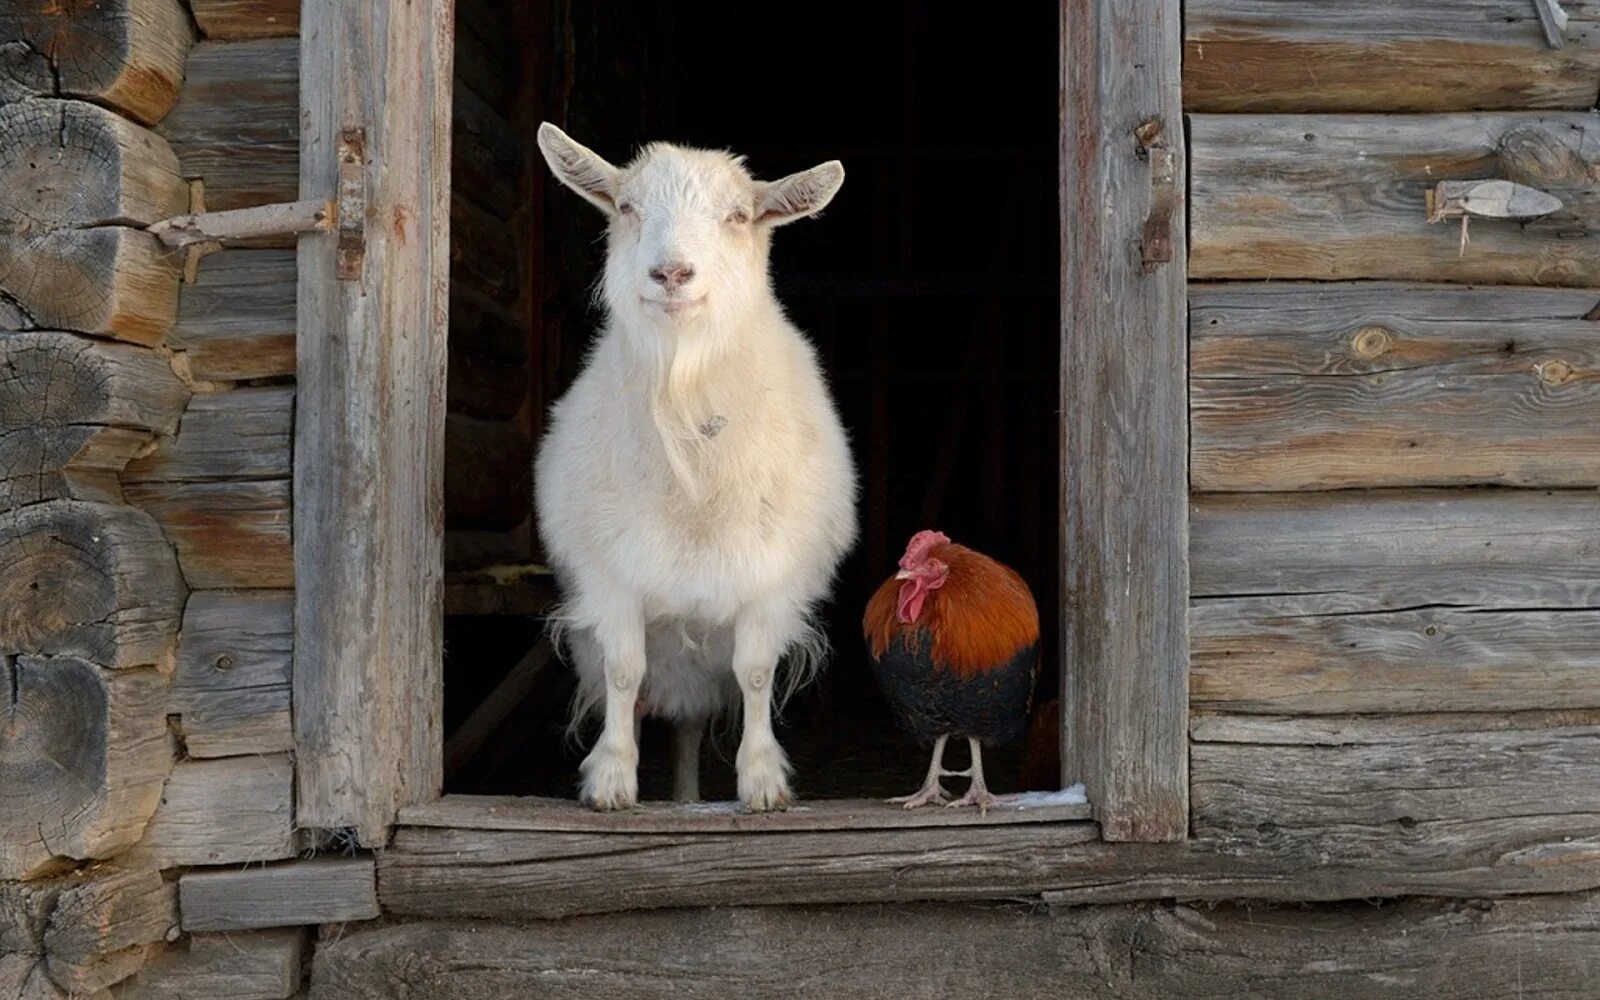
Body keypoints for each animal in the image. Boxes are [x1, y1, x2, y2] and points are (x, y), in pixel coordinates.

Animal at [534, 124, 864, 812]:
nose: (671, 272)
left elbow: (756, 672)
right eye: (627, 206)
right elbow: (623, 670)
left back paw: (688, 801)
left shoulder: (770, 578)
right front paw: (611, 779)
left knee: (688, 727)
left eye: (738, 215)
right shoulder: (612, 575)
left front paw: (763, 782)